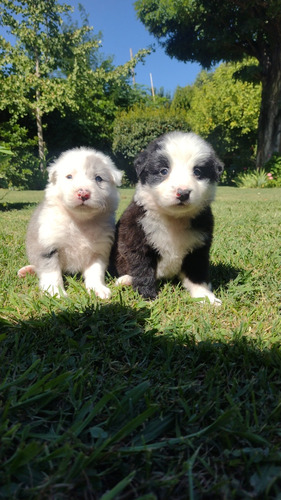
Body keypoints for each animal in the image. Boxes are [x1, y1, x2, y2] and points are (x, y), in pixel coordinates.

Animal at [17, 146, 121, 298]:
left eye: (98, 178)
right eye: (69, 177)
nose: (83, 193)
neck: (79, 221)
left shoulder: (99, 250)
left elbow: (95, 272)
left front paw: (98, 289)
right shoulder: (47, 245)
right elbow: (51, 273)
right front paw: (55, 292)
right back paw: (27, 270)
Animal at [109, 131, 223, 302]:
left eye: (197, 172)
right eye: (163, 171)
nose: (183, 193)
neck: (173, 218)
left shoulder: (198, 247)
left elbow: (196, 274)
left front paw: (205, 296)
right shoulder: (137, 239)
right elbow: (142, 269)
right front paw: (147, 296)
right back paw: (125, 280)